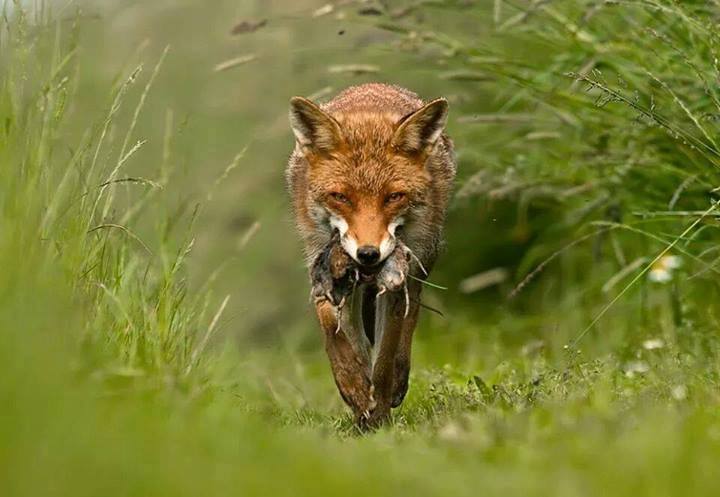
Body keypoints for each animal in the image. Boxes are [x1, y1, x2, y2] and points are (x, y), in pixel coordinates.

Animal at [286, 82, 456, 426]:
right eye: (340, 197)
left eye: (394, 197)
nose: (368, 254)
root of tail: (373, 86)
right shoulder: (320, 263)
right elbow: (333, 329)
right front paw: (354, 389)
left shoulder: (397, 277)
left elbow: (387, 353)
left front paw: (379, 415)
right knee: (362, 342)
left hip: (419, 263)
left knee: (409, 321)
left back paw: (395, 385)